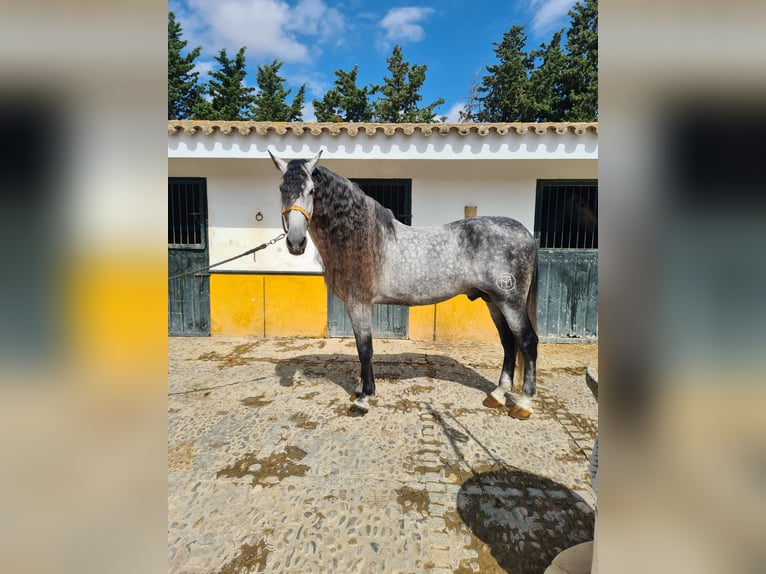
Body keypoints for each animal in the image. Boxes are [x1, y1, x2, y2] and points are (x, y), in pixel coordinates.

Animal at [270, 150, 540, 418]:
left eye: (311, 191)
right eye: (281, 188)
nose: (296, 242)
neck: (362, 238)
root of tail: (525, 233)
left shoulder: (359, 304)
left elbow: (365, 349)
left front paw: (364, 397)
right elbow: (361, 349)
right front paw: (359, 389)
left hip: (510, 302)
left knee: (527, 342)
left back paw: (524, 403)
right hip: (493, 301)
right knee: (508, 342)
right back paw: (497, 395)